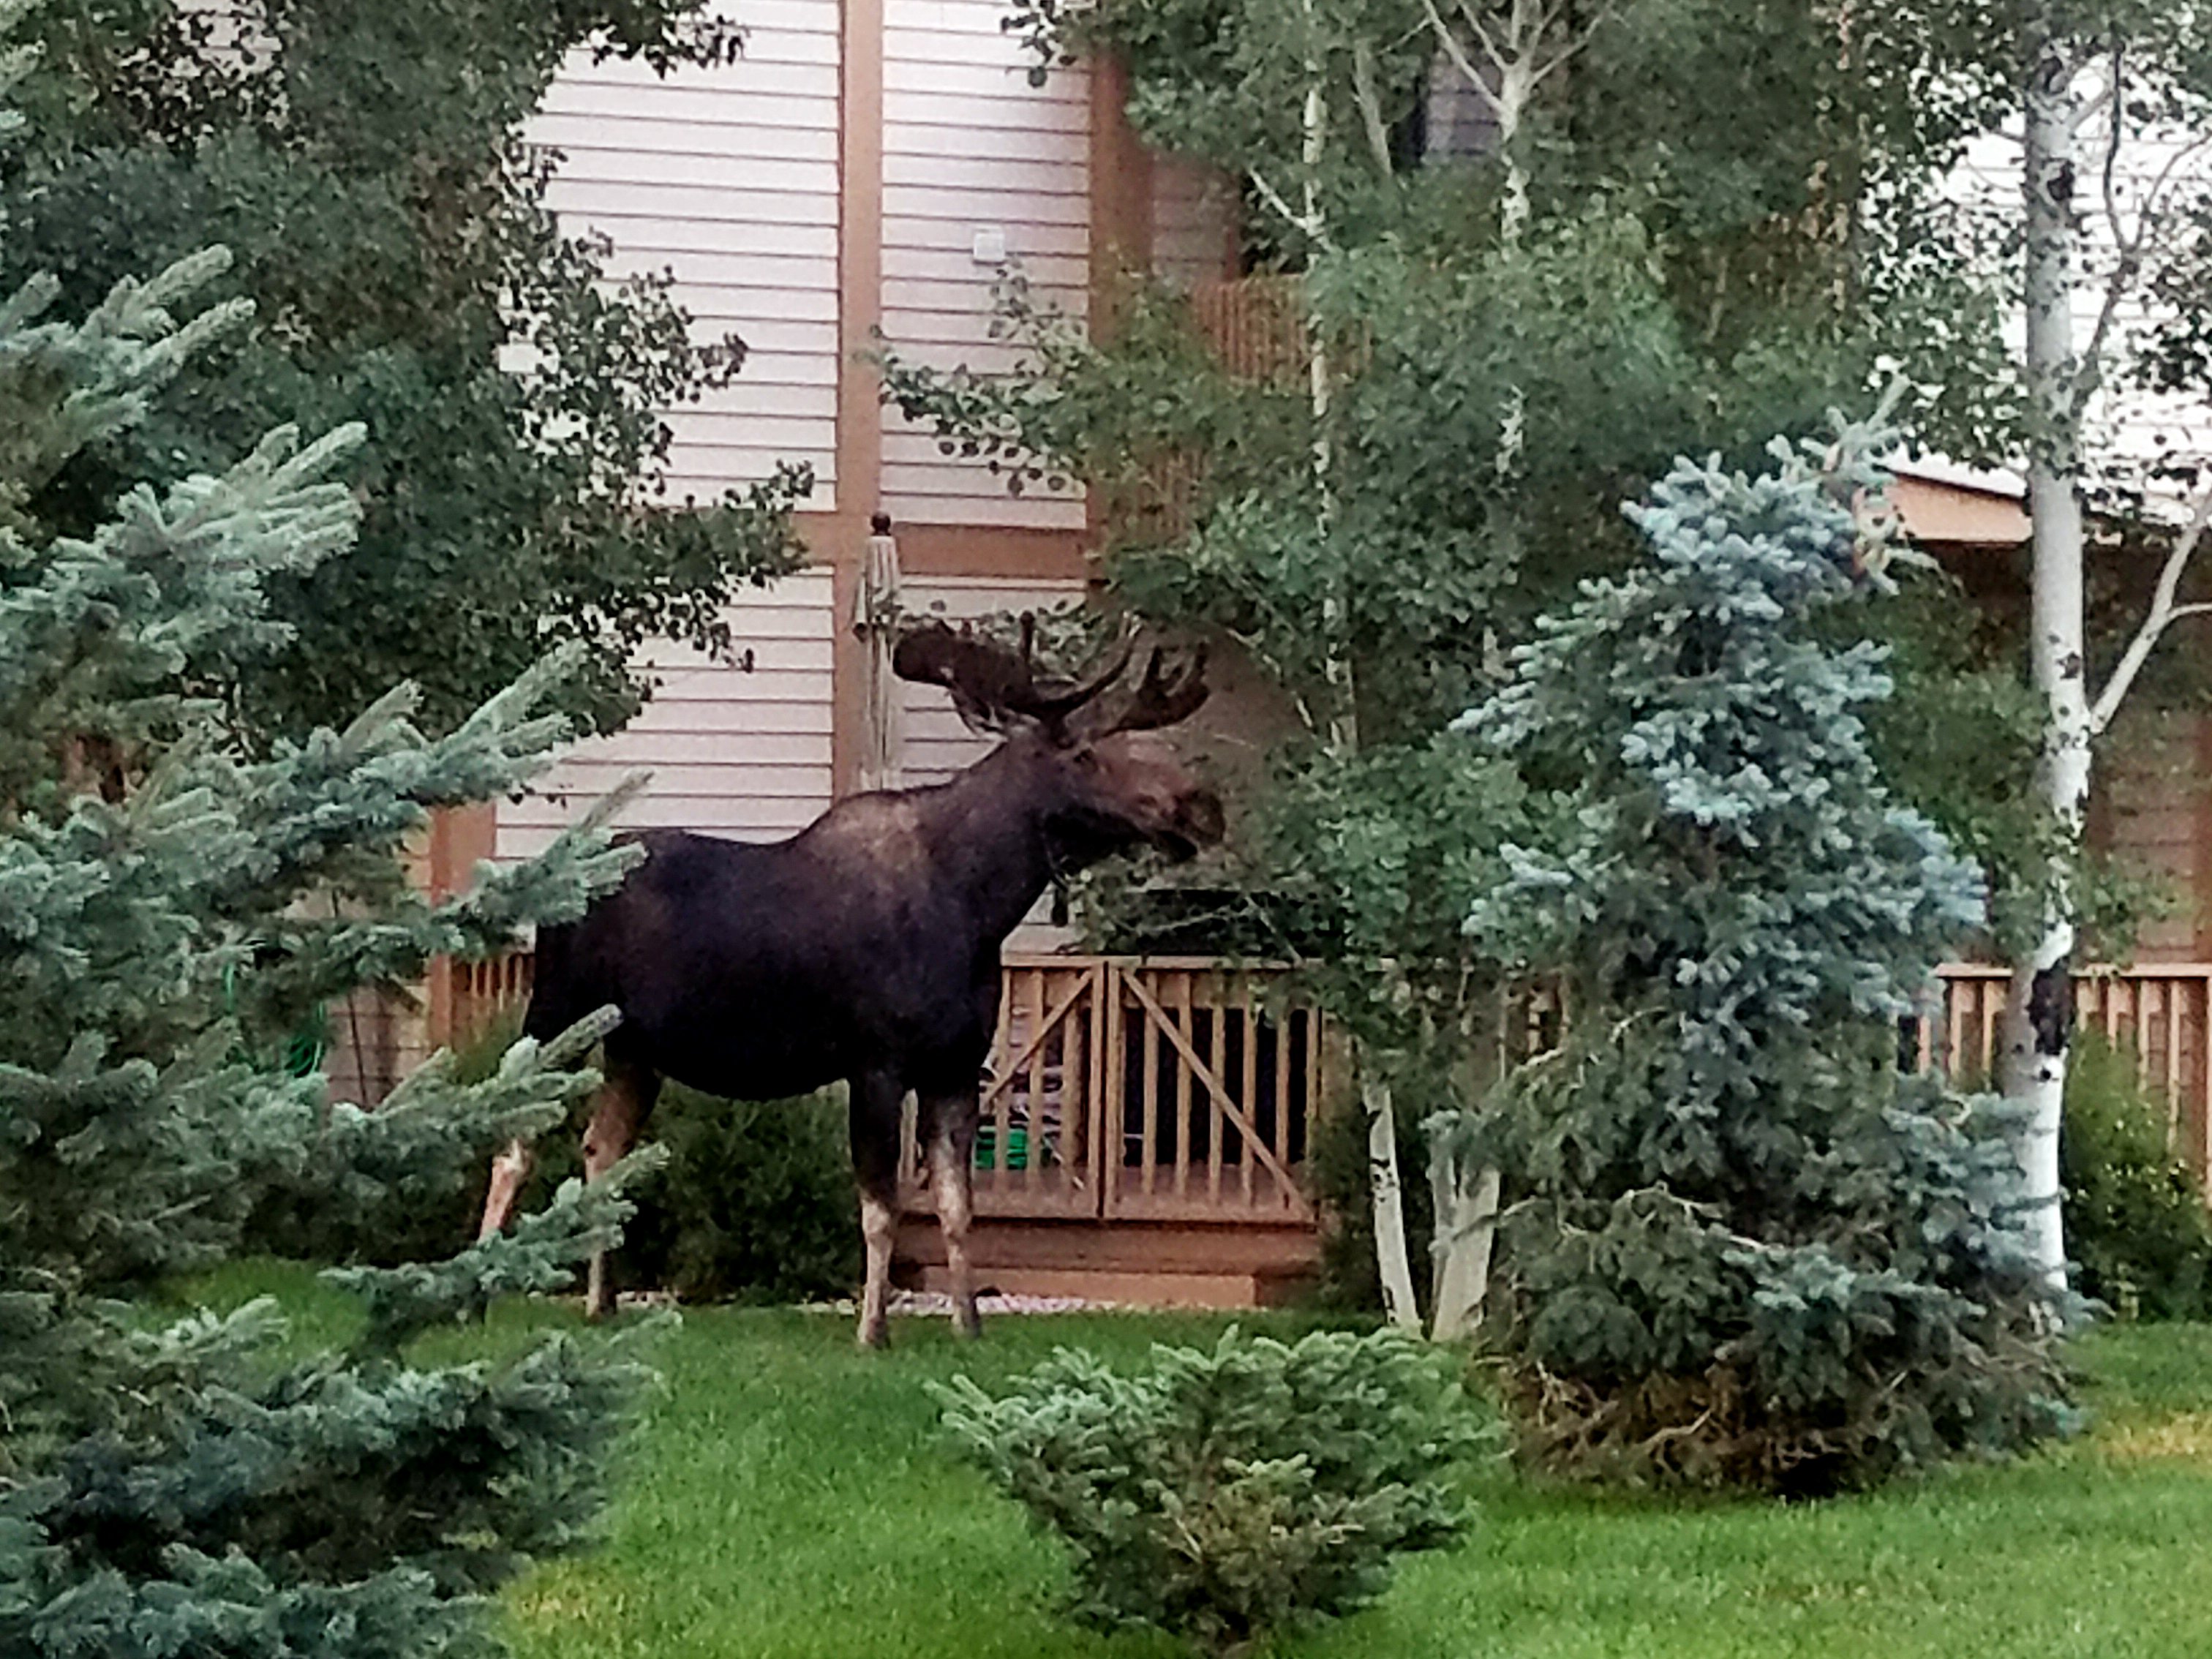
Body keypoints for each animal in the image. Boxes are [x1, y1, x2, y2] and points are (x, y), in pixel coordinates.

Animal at [475, 619, 1222, 1347]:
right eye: (1085, 755)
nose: (1200, 807)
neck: (978, 907)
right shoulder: (877, 1062)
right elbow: (881, 1208)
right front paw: (872, 1329)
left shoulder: (956, 1067)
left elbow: (957, 1208)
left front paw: (968, 1325)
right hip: (554, 1010)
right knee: (511, 1137)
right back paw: (477, 1289)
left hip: (633, 1048)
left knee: (600, 1149)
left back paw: (600, 1303)